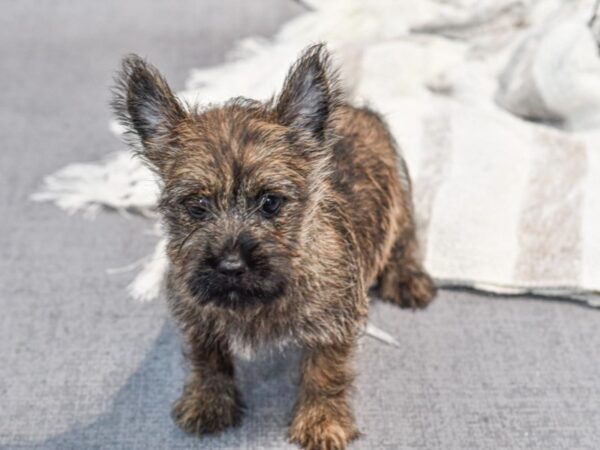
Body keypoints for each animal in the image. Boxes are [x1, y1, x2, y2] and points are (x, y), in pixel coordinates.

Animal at [112, 43, 436, 450]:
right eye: (197, 206)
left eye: (270, 203)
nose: (231, 265)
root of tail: (357, 108)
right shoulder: (196, 317)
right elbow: (207, 360)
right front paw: (207, 403)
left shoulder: (334, 324)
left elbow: (325, 374)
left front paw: (321, 421)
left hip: (400, 200)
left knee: (405, 240)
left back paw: (408, 278)